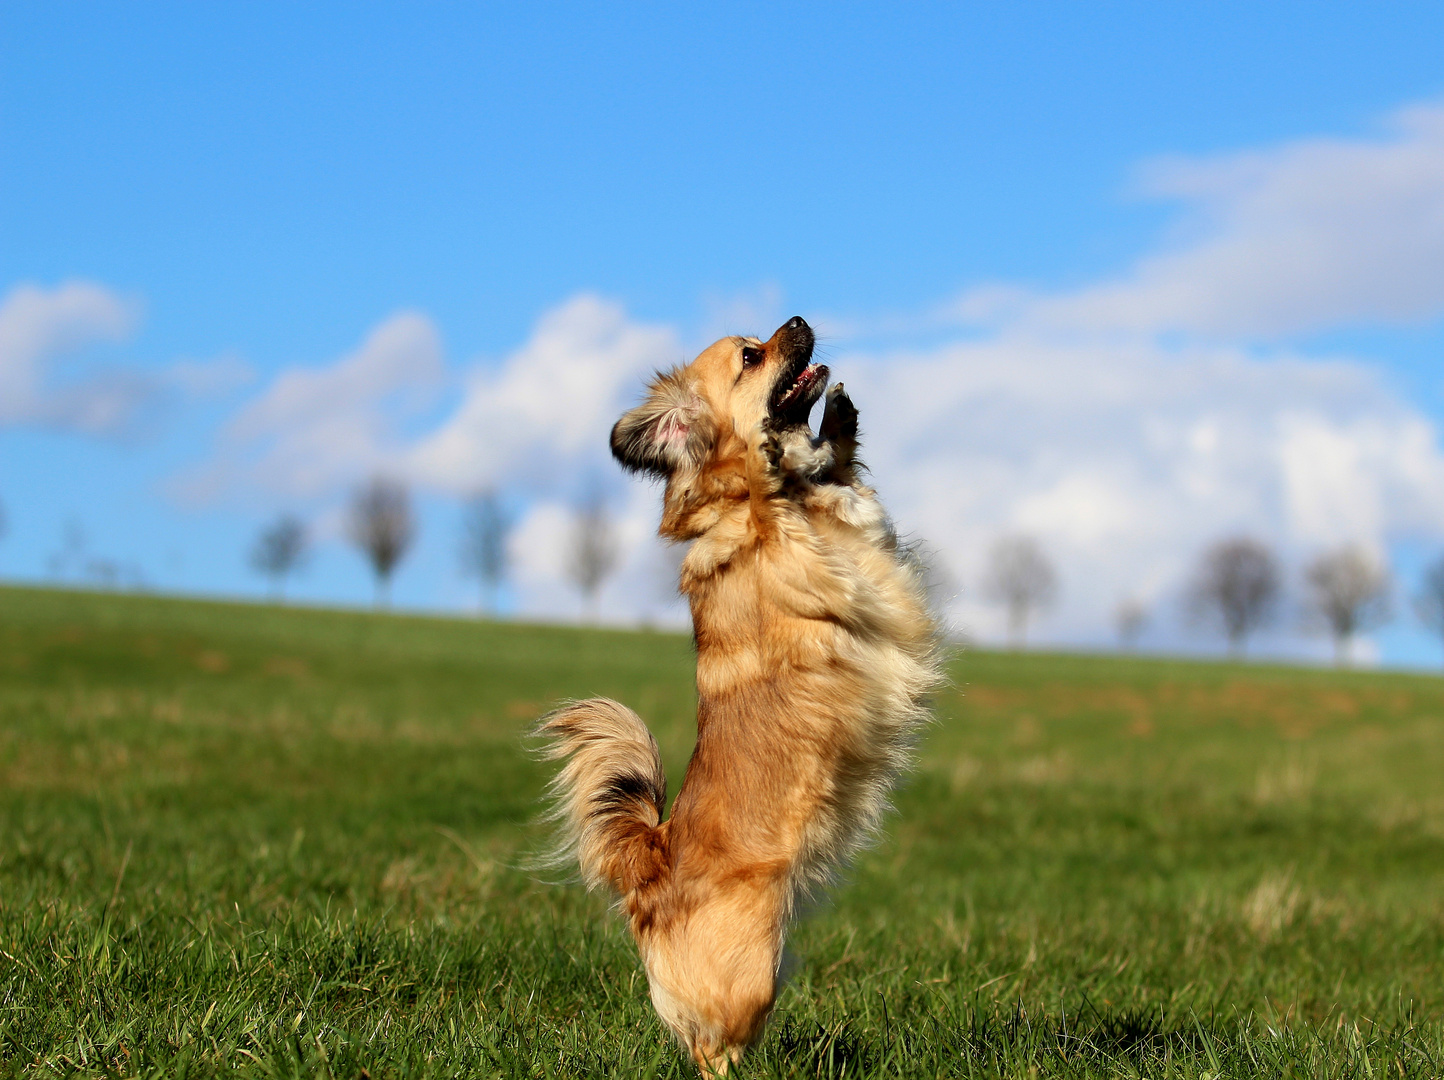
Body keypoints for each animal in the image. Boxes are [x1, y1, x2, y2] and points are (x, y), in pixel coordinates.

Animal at [537, 314, 941, 1074]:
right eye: (752, 357)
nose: (801, 320)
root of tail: (651, 866)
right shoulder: (814, 560)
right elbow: (779, 497)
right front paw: (774, 455)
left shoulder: (854, 528)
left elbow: (843, 481)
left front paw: (835, 424)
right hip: (751, 978)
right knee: (709, 1047)